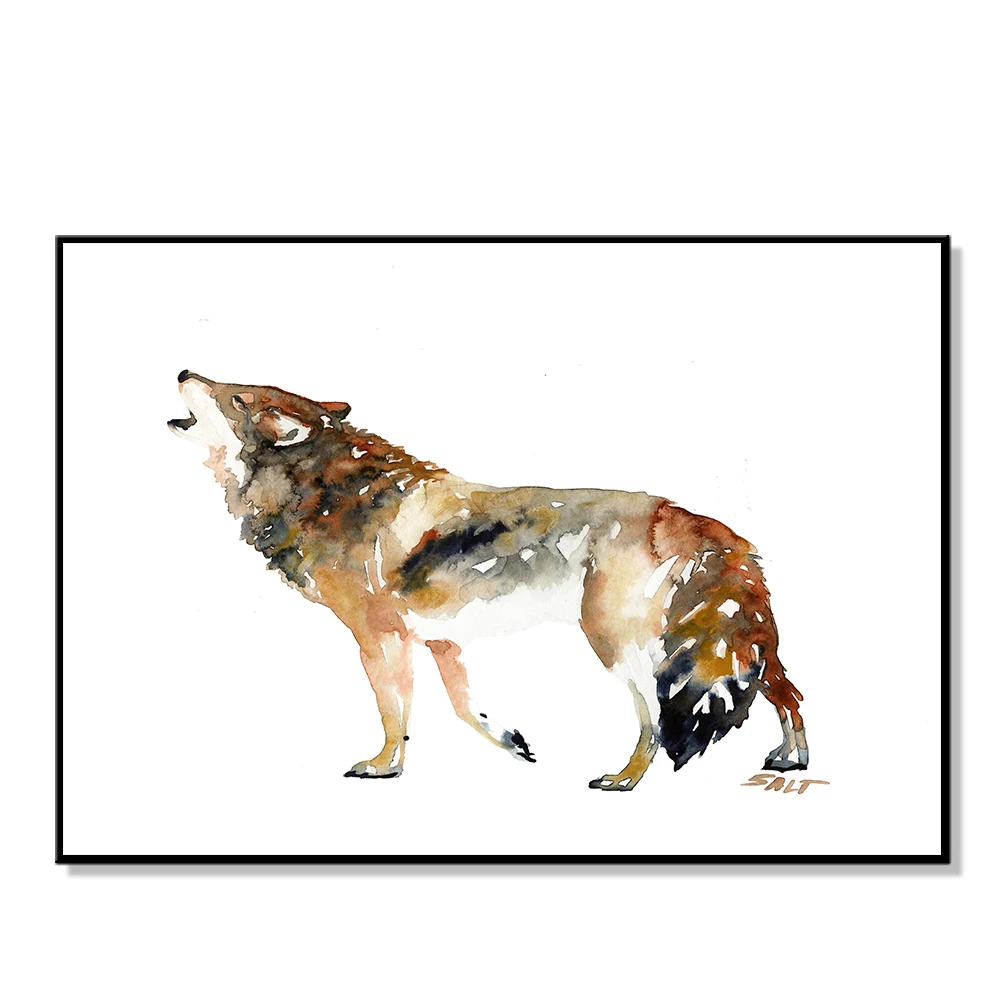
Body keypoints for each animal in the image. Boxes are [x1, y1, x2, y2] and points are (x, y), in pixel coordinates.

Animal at [169, 371, 808, 790]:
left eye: (232, 394)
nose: (183, 370)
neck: (328, 492)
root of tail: (683, 515)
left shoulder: (379, 636)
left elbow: (394, 713)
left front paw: (384, 767)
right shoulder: (439, 640)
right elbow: (463, 709)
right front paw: (514, 744)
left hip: (618, 648)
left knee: (655, 720)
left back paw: (626, 778)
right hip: (724, 645)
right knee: (786, 691)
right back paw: (792, 760)